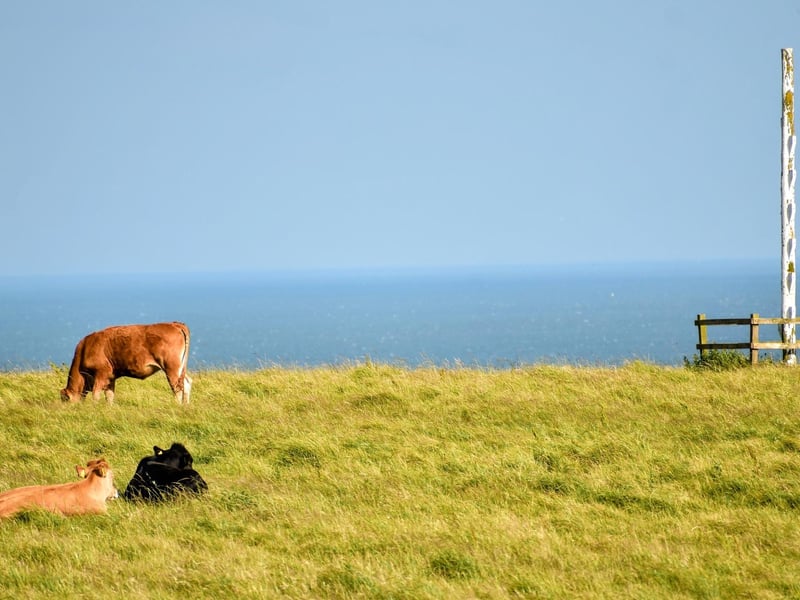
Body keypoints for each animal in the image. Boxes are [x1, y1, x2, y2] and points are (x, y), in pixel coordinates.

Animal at [60, 322, 192, 404]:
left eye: (65, 400)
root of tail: (174, 324)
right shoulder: (110, 378)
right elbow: (109, 396)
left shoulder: (101, 374)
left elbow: (96, 395)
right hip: (180, 368)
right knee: (186, 383)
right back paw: (185, 406)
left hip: (171, 368)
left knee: (177, 387)